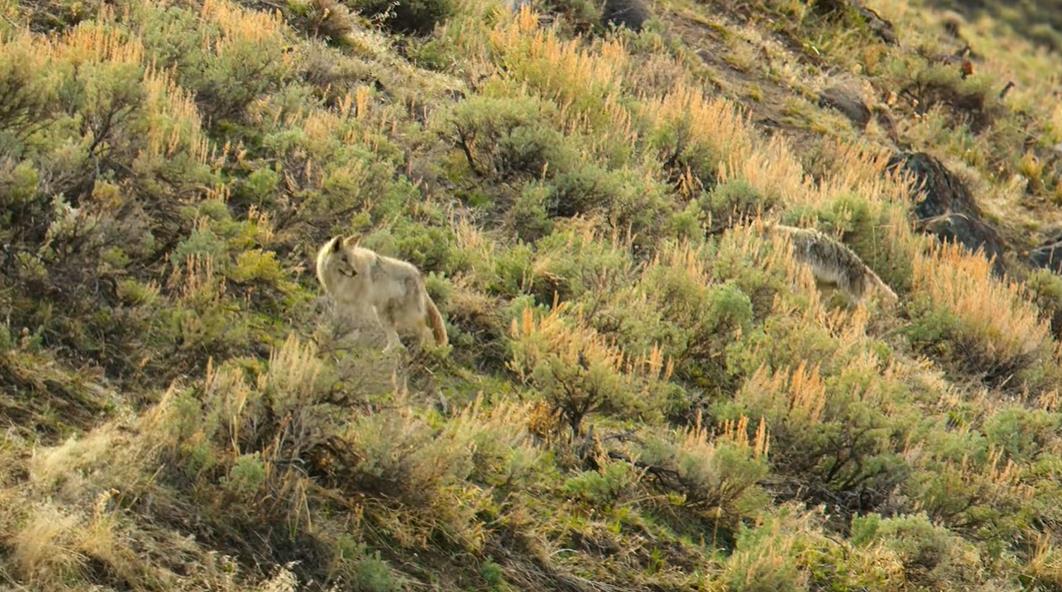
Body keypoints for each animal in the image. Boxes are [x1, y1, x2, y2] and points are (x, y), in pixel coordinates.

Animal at [314, 235, 448, 350]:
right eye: (343, 259)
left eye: (350, 260)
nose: (354, 272)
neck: (340, 281)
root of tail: (419, 277)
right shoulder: (342, 303)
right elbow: (338, 321)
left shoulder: (360, 306)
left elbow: (356, 326)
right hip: (384, 315)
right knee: (397, 341)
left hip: (404, 317)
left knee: (427, 333)